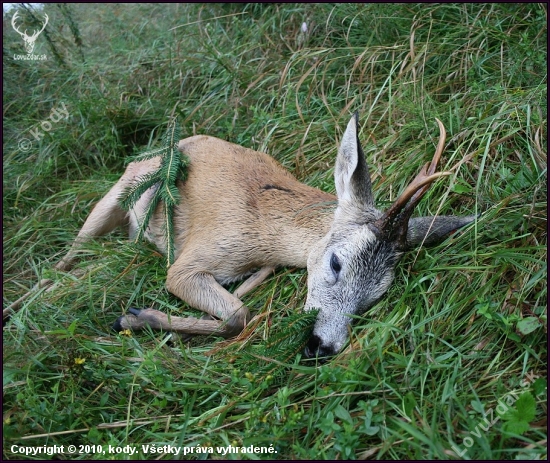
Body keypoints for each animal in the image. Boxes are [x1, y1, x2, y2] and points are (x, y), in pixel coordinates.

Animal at [7, 115, 478, 358]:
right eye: (335, 262)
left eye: (377, 294)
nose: (324, 345)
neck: (266, 228)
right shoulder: (189, 261)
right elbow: (237, 315)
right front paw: (135, 317)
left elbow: (239, 306)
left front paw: (146, 320)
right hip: (114, 196)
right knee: (64, 259)